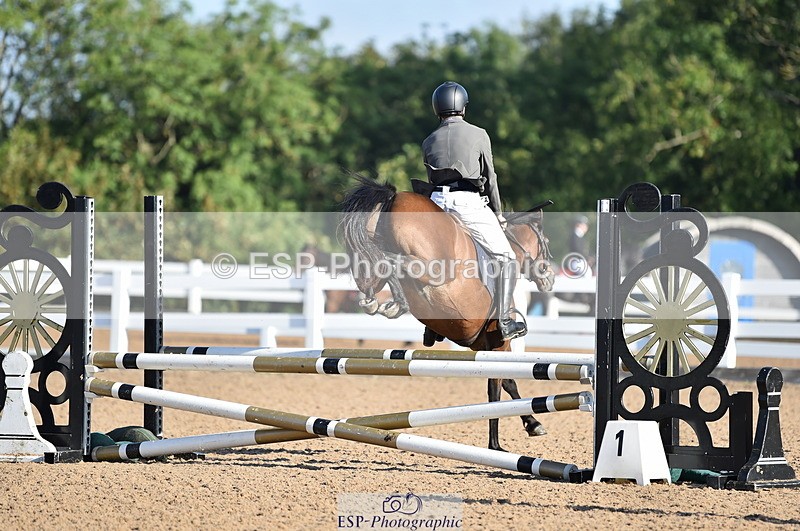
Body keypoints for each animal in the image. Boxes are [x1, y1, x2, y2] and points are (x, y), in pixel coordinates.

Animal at [340, 176, 555, 451]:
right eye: (545, 243)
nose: (549, 279)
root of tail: (395, 197)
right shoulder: (498, 342)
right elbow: (497, 388)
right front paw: (496, 445)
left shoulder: (482, 345)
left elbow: (507, 382)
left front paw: (530, 423)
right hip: (431, 268)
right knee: (389, 260)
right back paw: (396, 302)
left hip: (369, 272)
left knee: (374, 270)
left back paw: (385, 302)